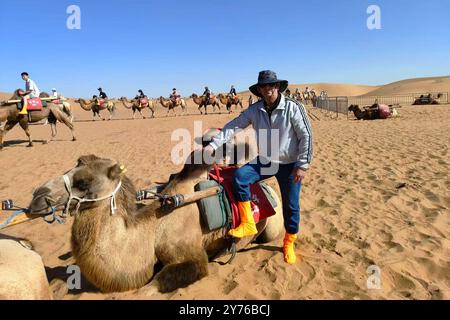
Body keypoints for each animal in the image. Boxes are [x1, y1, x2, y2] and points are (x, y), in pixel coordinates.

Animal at [30, 154, 284, 294]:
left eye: (83, 182)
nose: (37, 197)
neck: (153, 229)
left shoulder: (191, 257)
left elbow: (148, 288)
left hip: (273, 227)